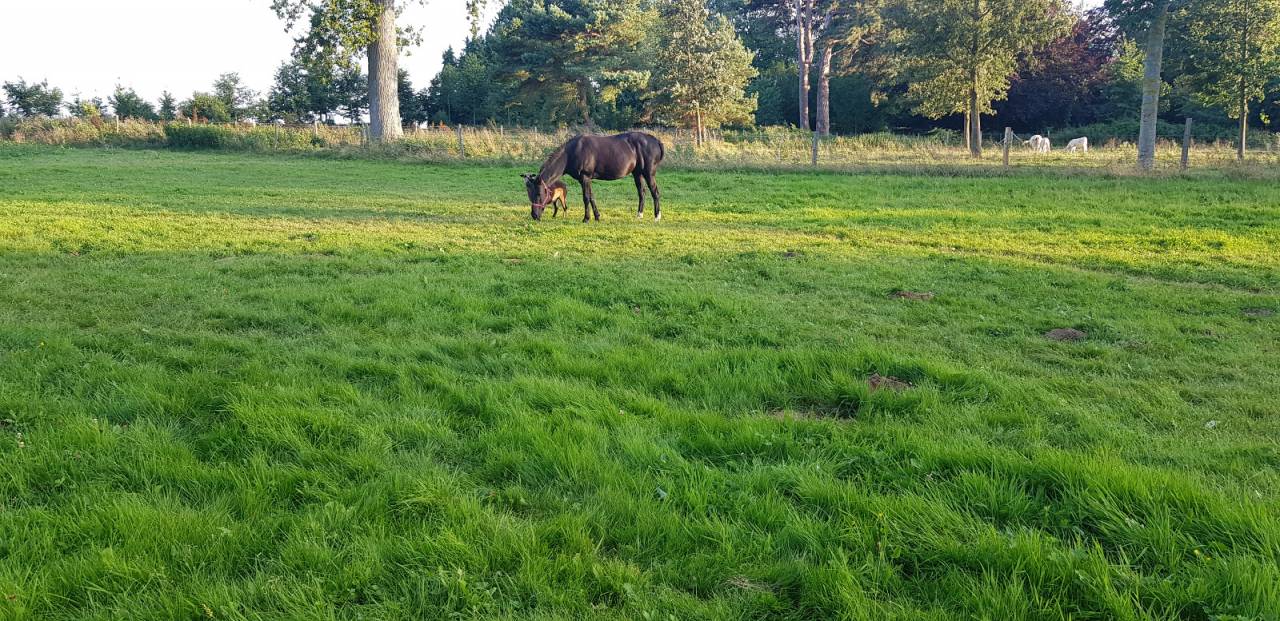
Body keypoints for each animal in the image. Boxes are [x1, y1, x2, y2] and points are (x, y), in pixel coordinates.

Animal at [522, 132, 665, 222]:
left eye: (539, 194)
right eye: (529, 194)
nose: (534, 215)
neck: (572, 152)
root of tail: (656, 141)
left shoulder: (585, 178)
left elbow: (586, 198)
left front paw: (586, 218)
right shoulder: (586, 180)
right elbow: (591, 197)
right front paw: (597, 216)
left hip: (649, 173)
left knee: (655, 192)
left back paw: (657, 217)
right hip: (637, 173)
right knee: (642, 193)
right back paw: (639, 215)